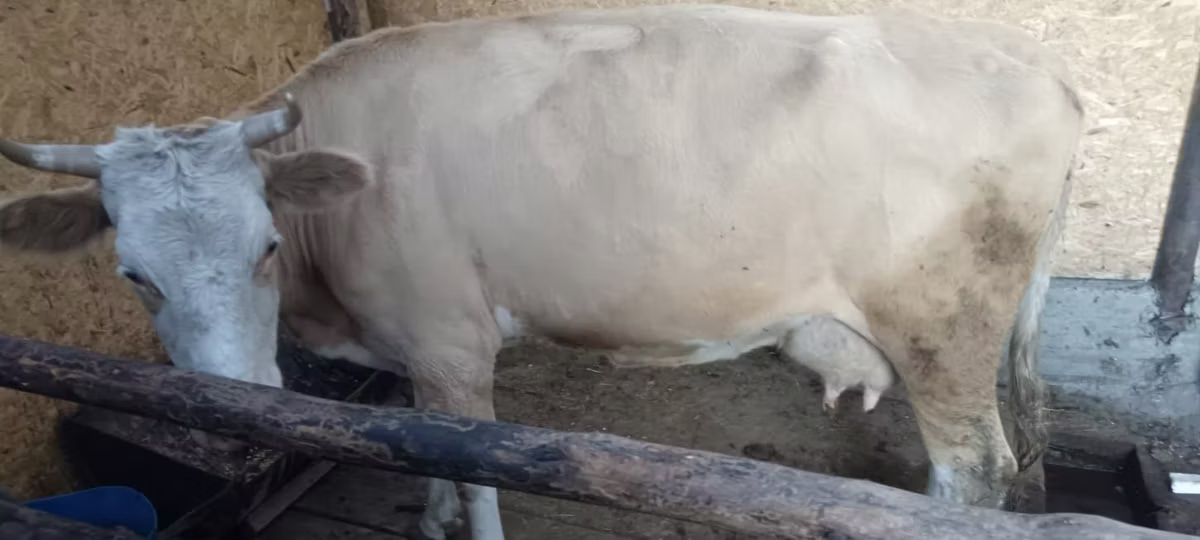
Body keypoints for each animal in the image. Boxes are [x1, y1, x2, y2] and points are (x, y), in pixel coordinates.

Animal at [0, 4, 1082, 539]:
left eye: (265, 243)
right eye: (132, 272)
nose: (235, 402)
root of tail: (1037, 63)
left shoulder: (450, 340)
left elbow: (477, 476)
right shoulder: (415, 355)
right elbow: (426, 454)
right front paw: (428, 520)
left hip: (941, 325)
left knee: (974, 473)